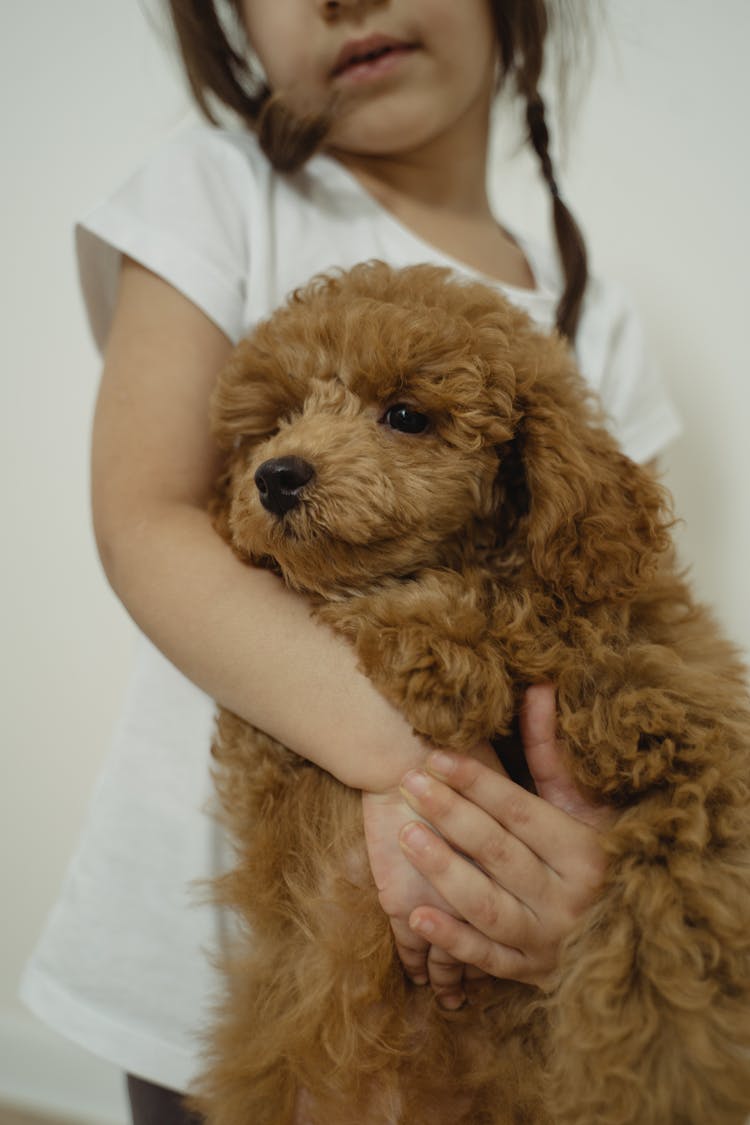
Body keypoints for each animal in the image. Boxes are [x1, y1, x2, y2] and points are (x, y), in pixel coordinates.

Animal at [193, 261, 750, 1125]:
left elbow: (674, 918)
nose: (275, 475)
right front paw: (440, 650)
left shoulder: (695, 744)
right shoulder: (268, 753)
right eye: (278, 420)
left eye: (405, 415)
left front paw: (661, 1072)